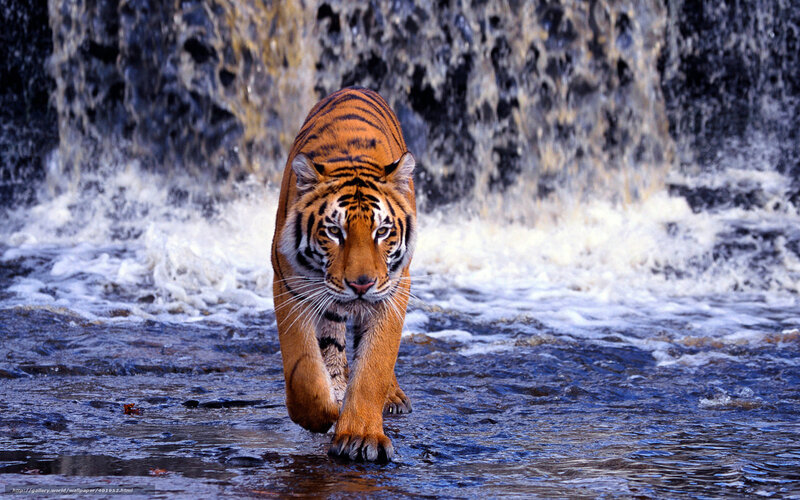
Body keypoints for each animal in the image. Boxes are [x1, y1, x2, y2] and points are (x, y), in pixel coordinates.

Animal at [271, 87, 417, 462]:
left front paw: (361, 436)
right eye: (334, 231)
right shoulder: (290, 285)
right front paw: (321, 414)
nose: (360, 284)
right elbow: (303, 368)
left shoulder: (393, 291)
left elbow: (375, 365)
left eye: (382, 232)